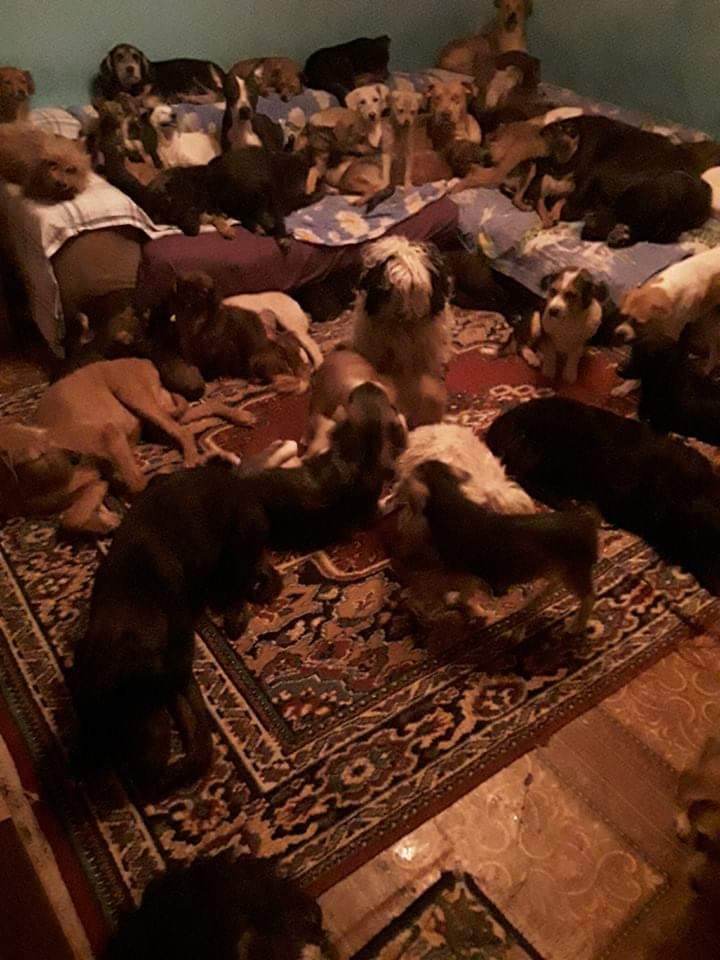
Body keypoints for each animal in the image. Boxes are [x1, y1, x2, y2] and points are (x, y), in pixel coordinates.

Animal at [68, 462, 282, 792]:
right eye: (108, 730)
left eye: (140, 706)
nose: (143, 778)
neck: (130, 599)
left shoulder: (177, 671)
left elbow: (198, 737)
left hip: (239, 537)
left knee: (243, 578)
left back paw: (235, 610)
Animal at [94, 44, 225, 103]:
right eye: (119, 57)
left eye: (136, 57)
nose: (130, 68)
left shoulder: (154, 91)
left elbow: (145, 97)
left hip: (197, 77)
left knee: (217, 95)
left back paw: (188, 98)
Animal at [402, 459, 599, 632]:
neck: (449, 497)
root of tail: (588, 522)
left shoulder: (464, 572)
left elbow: (458, 592)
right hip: (562, 571)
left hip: (574, 573)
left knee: (589, 597)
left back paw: (577, 625)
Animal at [486, 396, 720, 594]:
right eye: (704, 546)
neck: (688, 485)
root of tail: (498, 426)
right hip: (556, 457)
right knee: (527, 480)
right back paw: (569, 503)